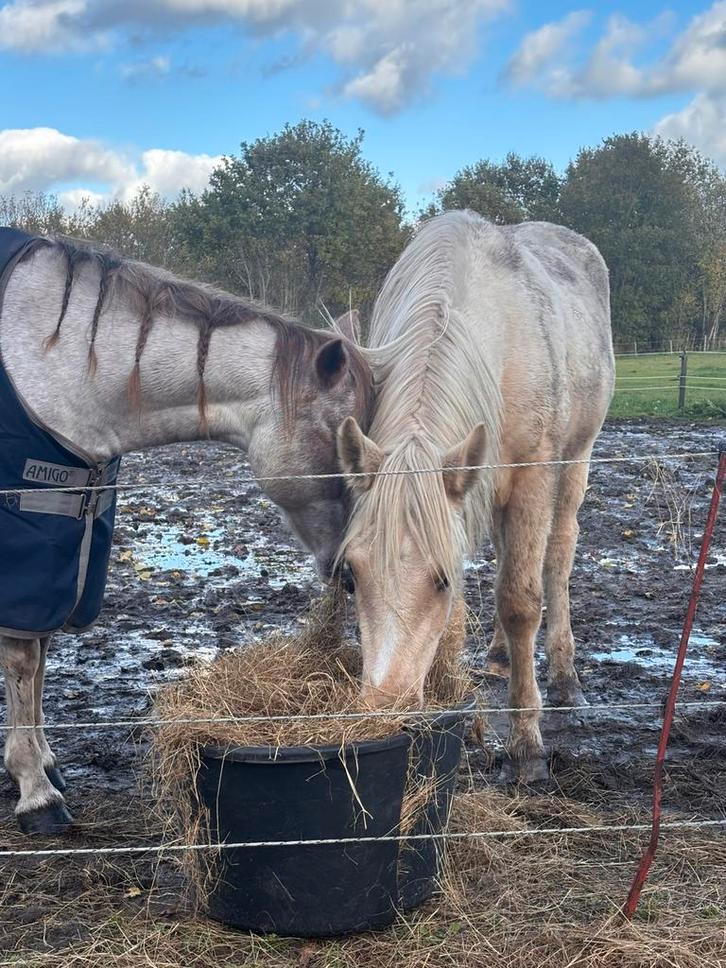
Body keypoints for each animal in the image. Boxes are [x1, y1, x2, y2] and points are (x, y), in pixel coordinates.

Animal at [0, 228, 372, 833]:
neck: (52, 361)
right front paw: (37, 794)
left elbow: (41, 656)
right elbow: (23, 660)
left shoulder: (64, 552)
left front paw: (44, 765)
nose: (350, 570)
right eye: (345, 444)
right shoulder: (23, 547)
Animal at [337, 210, 614, 782]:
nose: (383, 710)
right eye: (350, 577)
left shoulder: (532, 476)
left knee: (556, 559)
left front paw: (526, 747)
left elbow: (520, 601)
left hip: (574, 463)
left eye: (442, 579)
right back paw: (501, 656)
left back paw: (565, 676)